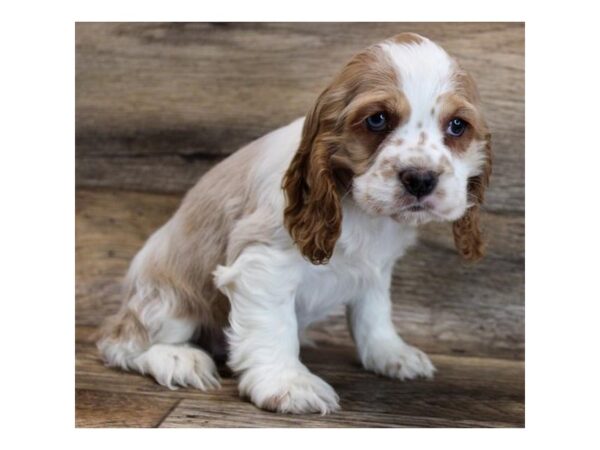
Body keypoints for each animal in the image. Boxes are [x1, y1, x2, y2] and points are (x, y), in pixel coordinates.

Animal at [97, 33, 492, 414]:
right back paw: (179, 359)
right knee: (123, 343)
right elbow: (275, 326)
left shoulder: (376, 270)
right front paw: (288, 384)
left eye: (457, 126)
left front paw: (391, 353)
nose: (421, 179)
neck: (360, 209)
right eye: (377, 119)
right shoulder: (263, 264)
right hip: (167, 299)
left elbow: (373, 313)